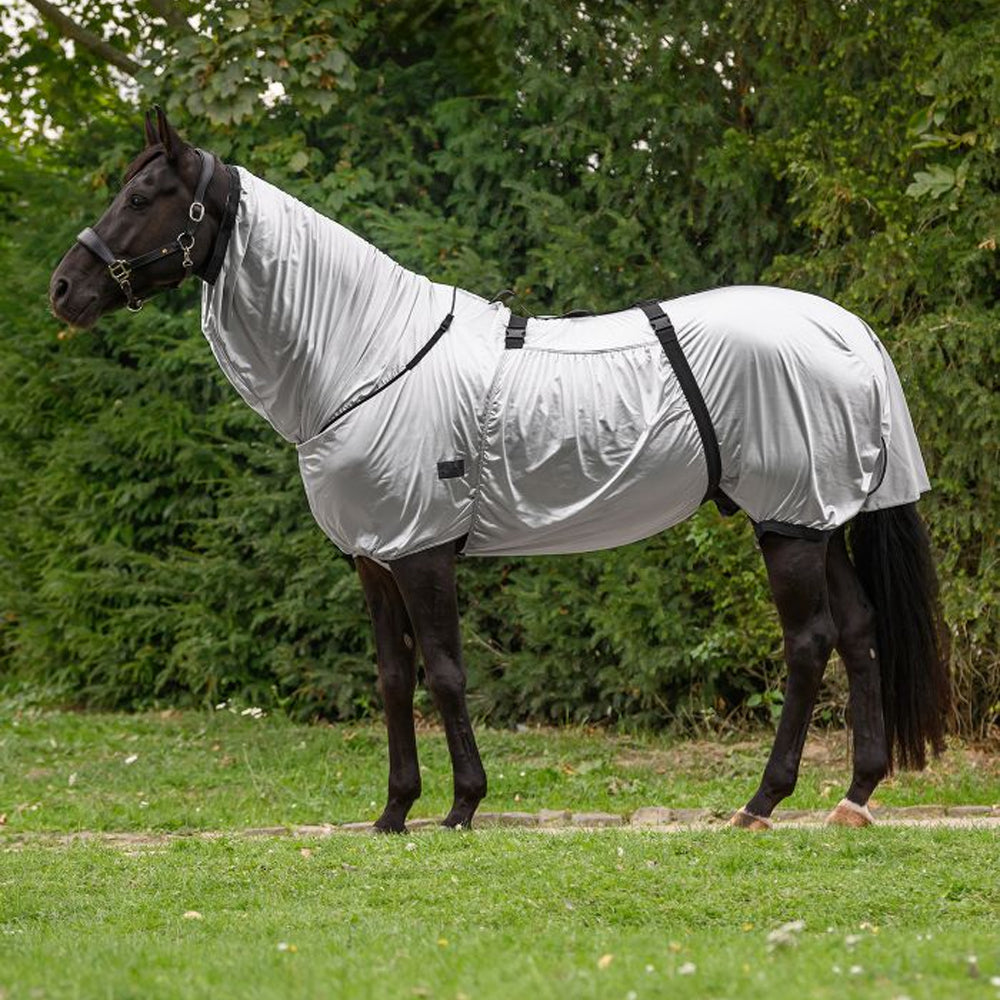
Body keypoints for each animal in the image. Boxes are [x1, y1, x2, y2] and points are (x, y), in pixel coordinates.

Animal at [49, 108, 950, 833]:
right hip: (817, 515)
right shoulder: (375, 556)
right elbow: (393, 680)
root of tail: (848, 330)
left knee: (810, 643)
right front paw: (393, 813)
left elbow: (446, 674)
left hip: (786, 524)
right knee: (860, 631)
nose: (63, 289)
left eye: (142, 199)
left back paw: (762, 803)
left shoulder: (421, 550)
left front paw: (461, 806)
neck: (367, 355)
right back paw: (855, 797)